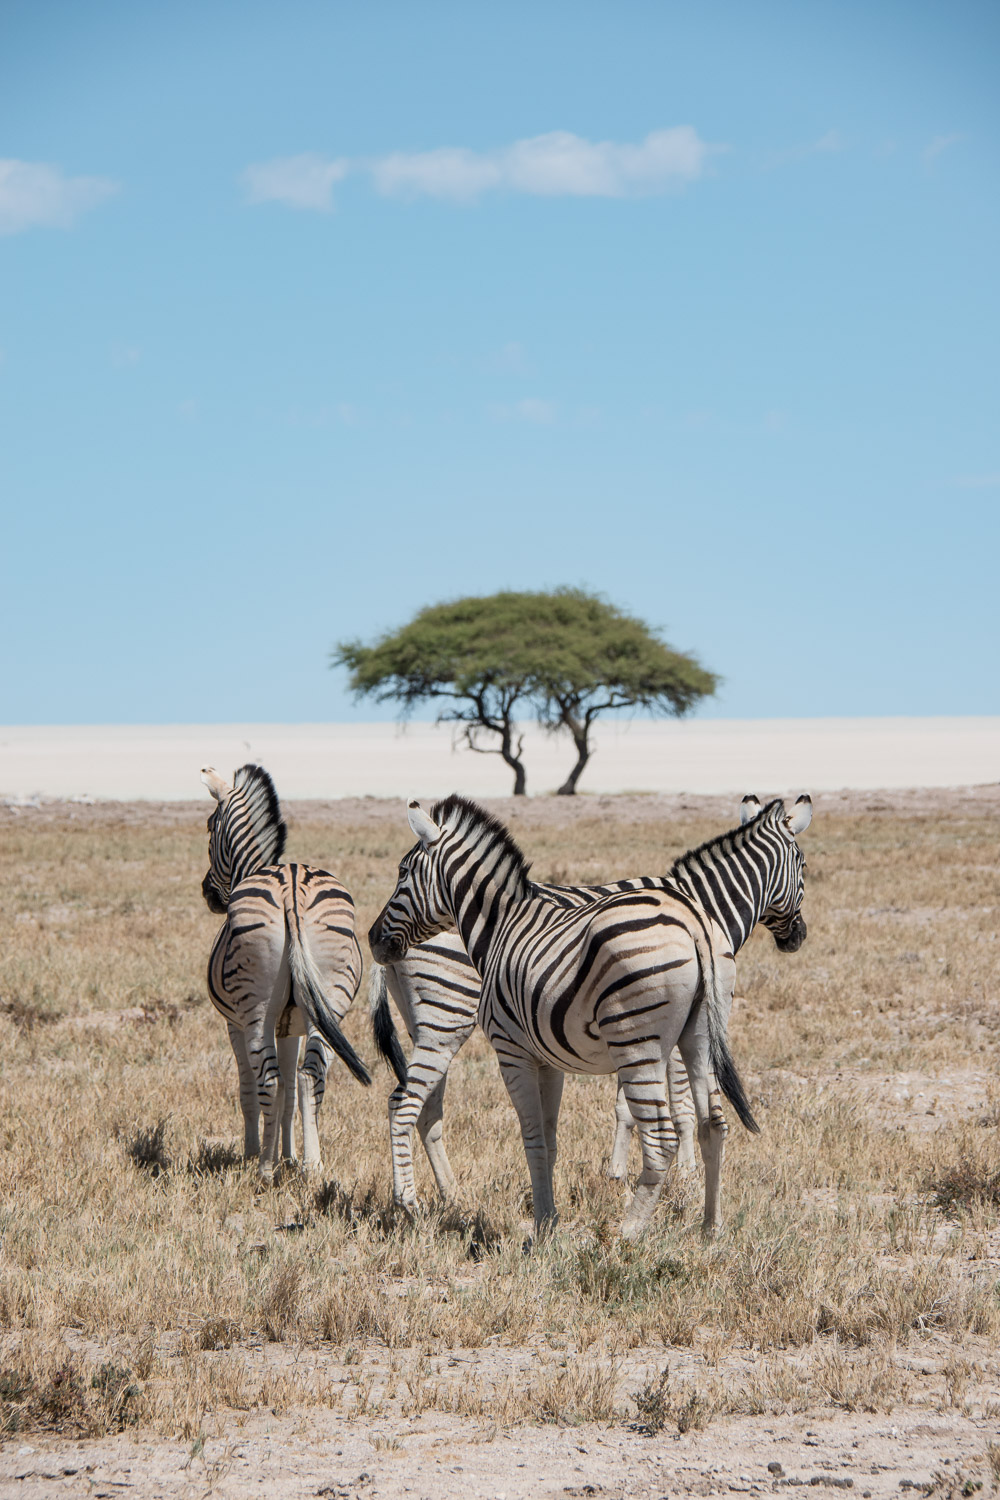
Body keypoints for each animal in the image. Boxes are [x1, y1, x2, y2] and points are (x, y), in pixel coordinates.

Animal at [202, 768, 371, 1176]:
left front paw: (255, 1153)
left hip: (256, 1008)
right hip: (329, 1002)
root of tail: (292, 885)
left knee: (267, 1078)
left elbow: (250, 1089)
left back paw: (263, 1169)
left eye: (209, 827)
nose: (207, 894)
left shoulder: (234, 1023)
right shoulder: (291, 1023)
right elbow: (291, 1093)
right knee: (311, 1075)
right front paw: (290, 1156)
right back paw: (313, 1166)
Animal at [370, 792, 815, 1236]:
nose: (799, 937)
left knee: (423, 1109)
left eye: (402, 873)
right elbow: (666, 1110)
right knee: (406, 1102)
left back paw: (448, 1198)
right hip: (447, 1017)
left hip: (443, 1024)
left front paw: (612, 1184)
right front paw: (668, 1179)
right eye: (805, 867)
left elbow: (586, 1124)